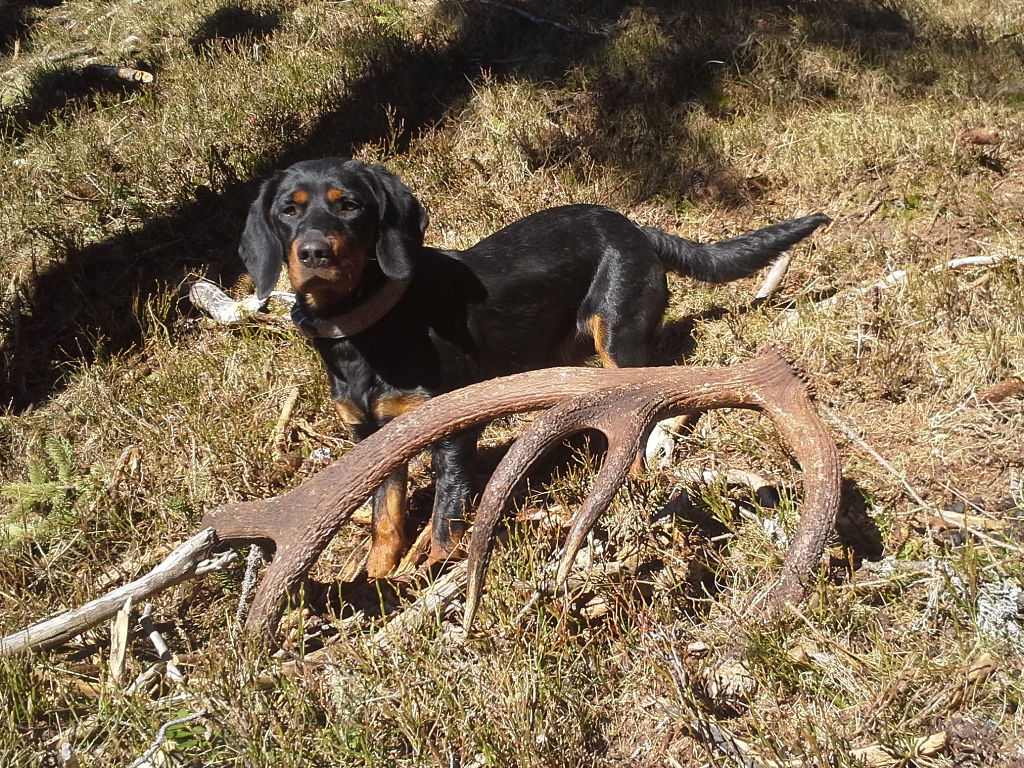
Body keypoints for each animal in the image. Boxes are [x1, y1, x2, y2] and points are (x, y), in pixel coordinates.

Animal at [239, 156, 831, 577]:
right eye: (288, 210)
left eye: (350, 206)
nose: (314, 253)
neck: (368, 329)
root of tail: (634, 227)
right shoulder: (374, 437)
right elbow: (387, 518)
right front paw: (377, 580)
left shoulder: (451, 425)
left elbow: (446, 520)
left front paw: (426, 580)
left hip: (618, 337)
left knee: (638, 421)